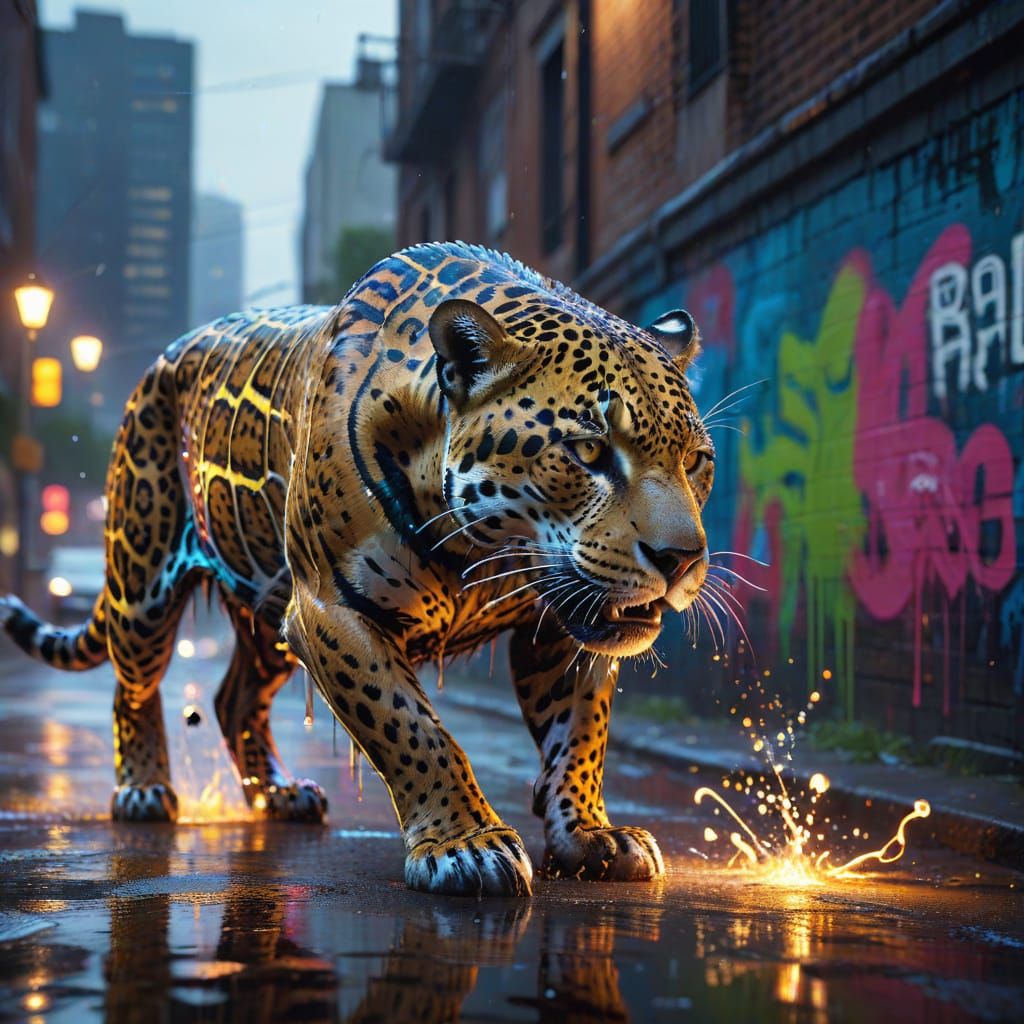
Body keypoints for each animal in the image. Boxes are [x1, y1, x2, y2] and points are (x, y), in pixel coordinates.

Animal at [1, 242, 714, 897]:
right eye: (588, 451)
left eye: (695, 459)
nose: (681, 560)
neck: (481, 548)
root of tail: (164, 356)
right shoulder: (331, 610)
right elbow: (414, 729)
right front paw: (467, 845)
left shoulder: (560, 625)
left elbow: (580, 734)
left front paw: (591, 834)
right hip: (143, 582)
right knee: (134, 687)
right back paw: (145, 790)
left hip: (267, 615)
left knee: (234, 699)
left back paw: (279, 794)